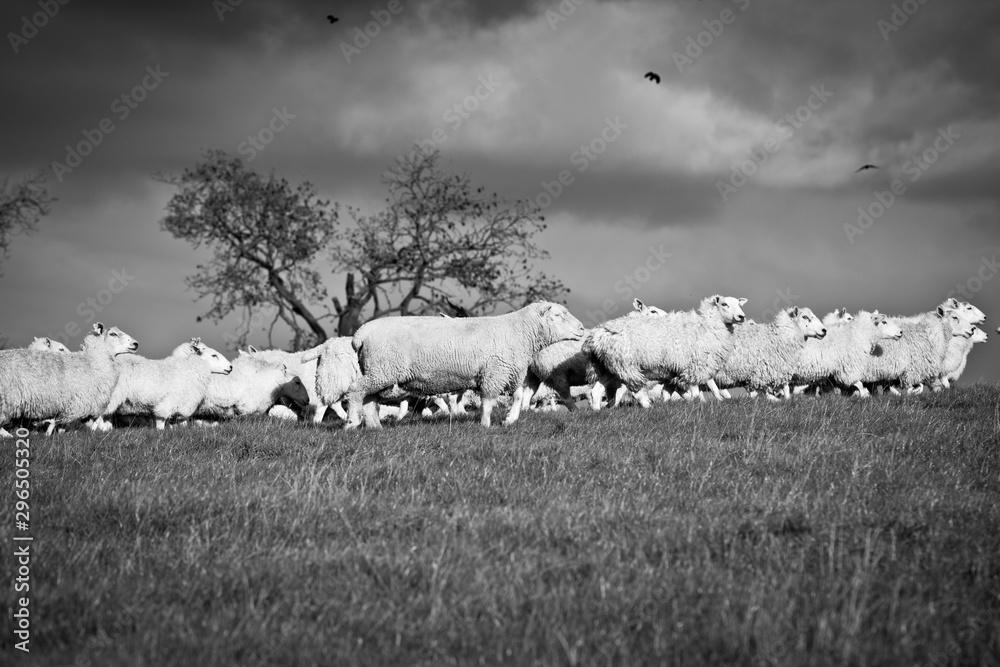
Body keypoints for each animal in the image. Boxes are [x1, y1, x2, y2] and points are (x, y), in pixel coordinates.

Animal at [0, 323, 138, 437]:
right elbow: (59, 421)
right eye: (113, 334)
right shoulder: (76, 404)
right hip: (5, 400)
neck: (92, 361)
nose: (135, 343)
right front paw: (49, 434)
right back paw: (7, 435)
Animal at [103, 340, 233, 430]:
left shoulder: (181, 408)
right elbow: (161, 420)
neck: (189, 370)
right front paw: (160, 433)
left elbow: (181, 423)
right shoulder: (167, 403)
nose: (231, 367)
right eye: (214, 355)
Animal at [345, 301, 586, 428]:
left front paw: (510, 419)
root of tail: (360, 334)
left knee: (368, 399)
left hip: (378, 371)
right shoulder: (493, 373)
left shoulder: (510, 372)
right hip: (381, 369)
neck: (520, 332)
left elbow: (519, 396)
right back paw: (352, 423)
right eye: (558, 315)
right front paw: (486, 424)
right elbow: (488, 401)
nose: (582, 329)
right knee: (356, 392)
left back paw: (375, 427)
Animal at [584, 295, 748, 409]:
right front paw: (699, 403)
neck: (708, 325)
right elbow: (697, 390)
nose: (741, 317)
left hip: (609, 367)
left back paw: (598, 411)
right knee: (636, 390)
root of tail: (597, 335)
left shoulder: (679, 370)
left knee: (596, 390)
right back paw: (648, 406)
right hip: (626, 365)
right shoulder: (694, 366)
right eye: (724, 304)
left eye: (739, 304)